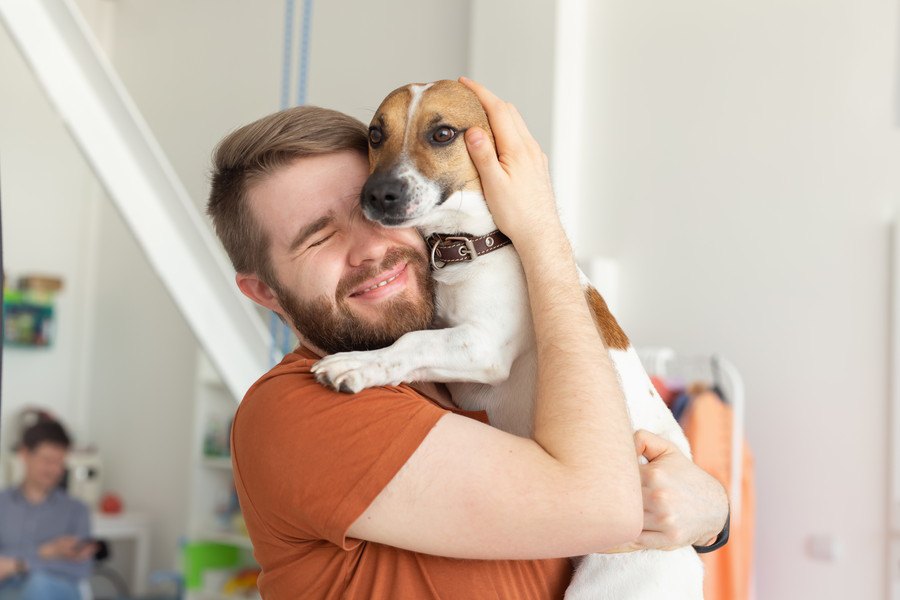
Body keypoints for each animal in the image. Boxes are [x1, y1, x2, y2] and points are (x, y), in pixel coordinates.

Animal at [312, 81, 708, 600]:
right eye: (376, 135)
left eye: (443, 133)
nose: (377, 193)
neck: (469, 244)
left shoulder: (481, 346)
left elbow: (412, 342)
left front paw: (357, 363)